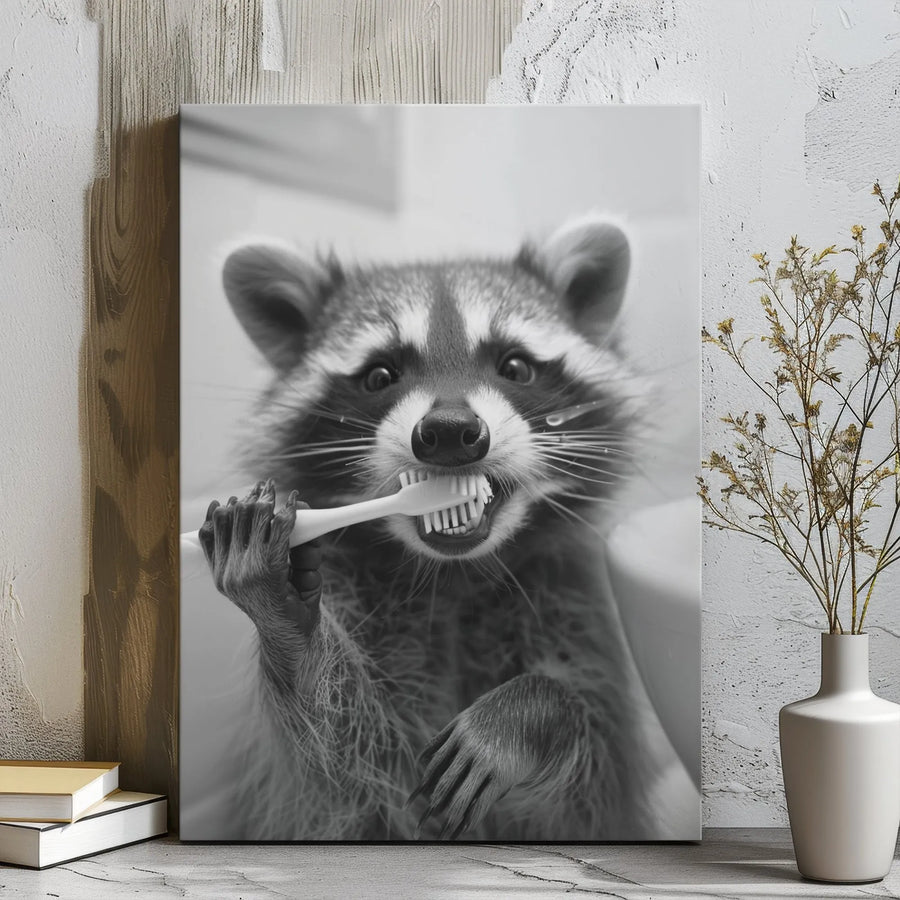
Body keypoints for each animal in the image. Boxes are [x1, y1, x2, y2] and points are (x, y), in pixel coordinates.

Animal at [198, 216, 655, 840]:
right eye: (379, 375)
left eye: (515, 367)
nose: (450, 431)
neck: (452, 573)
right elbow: (346, 770)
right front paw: (288, 625)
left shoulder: (573, 606)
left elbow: (587, 790)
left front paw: (529, 712)